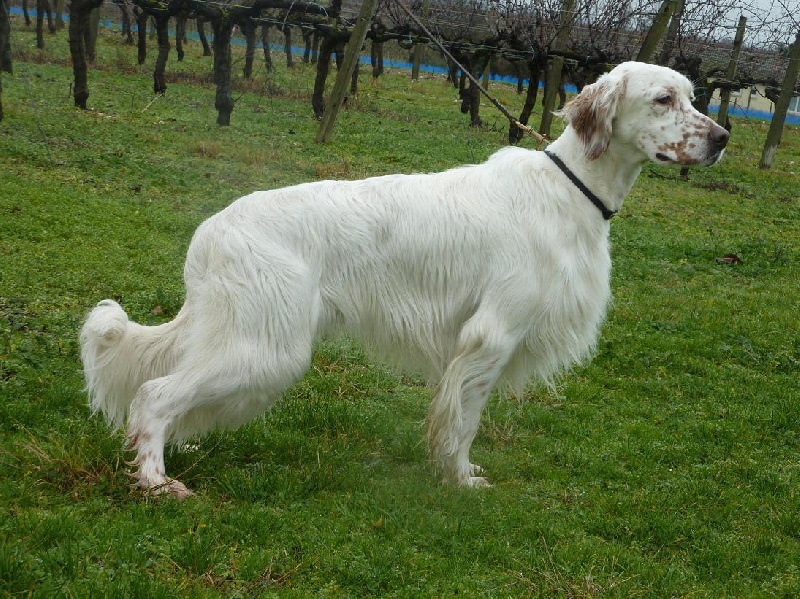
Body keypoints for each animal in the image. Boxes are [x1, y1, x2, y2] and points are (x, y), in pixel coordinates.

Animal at [83, 61, 732, 496]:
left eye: (693, 97)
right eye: (663, 99)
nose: (723, 138)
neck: (569, 190)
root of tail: (212, 231)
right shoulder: (490, 337)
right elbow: (463, 423)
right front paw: (461, 479)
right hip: (268, 346)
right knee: (154, 395)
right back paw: (156, 481)